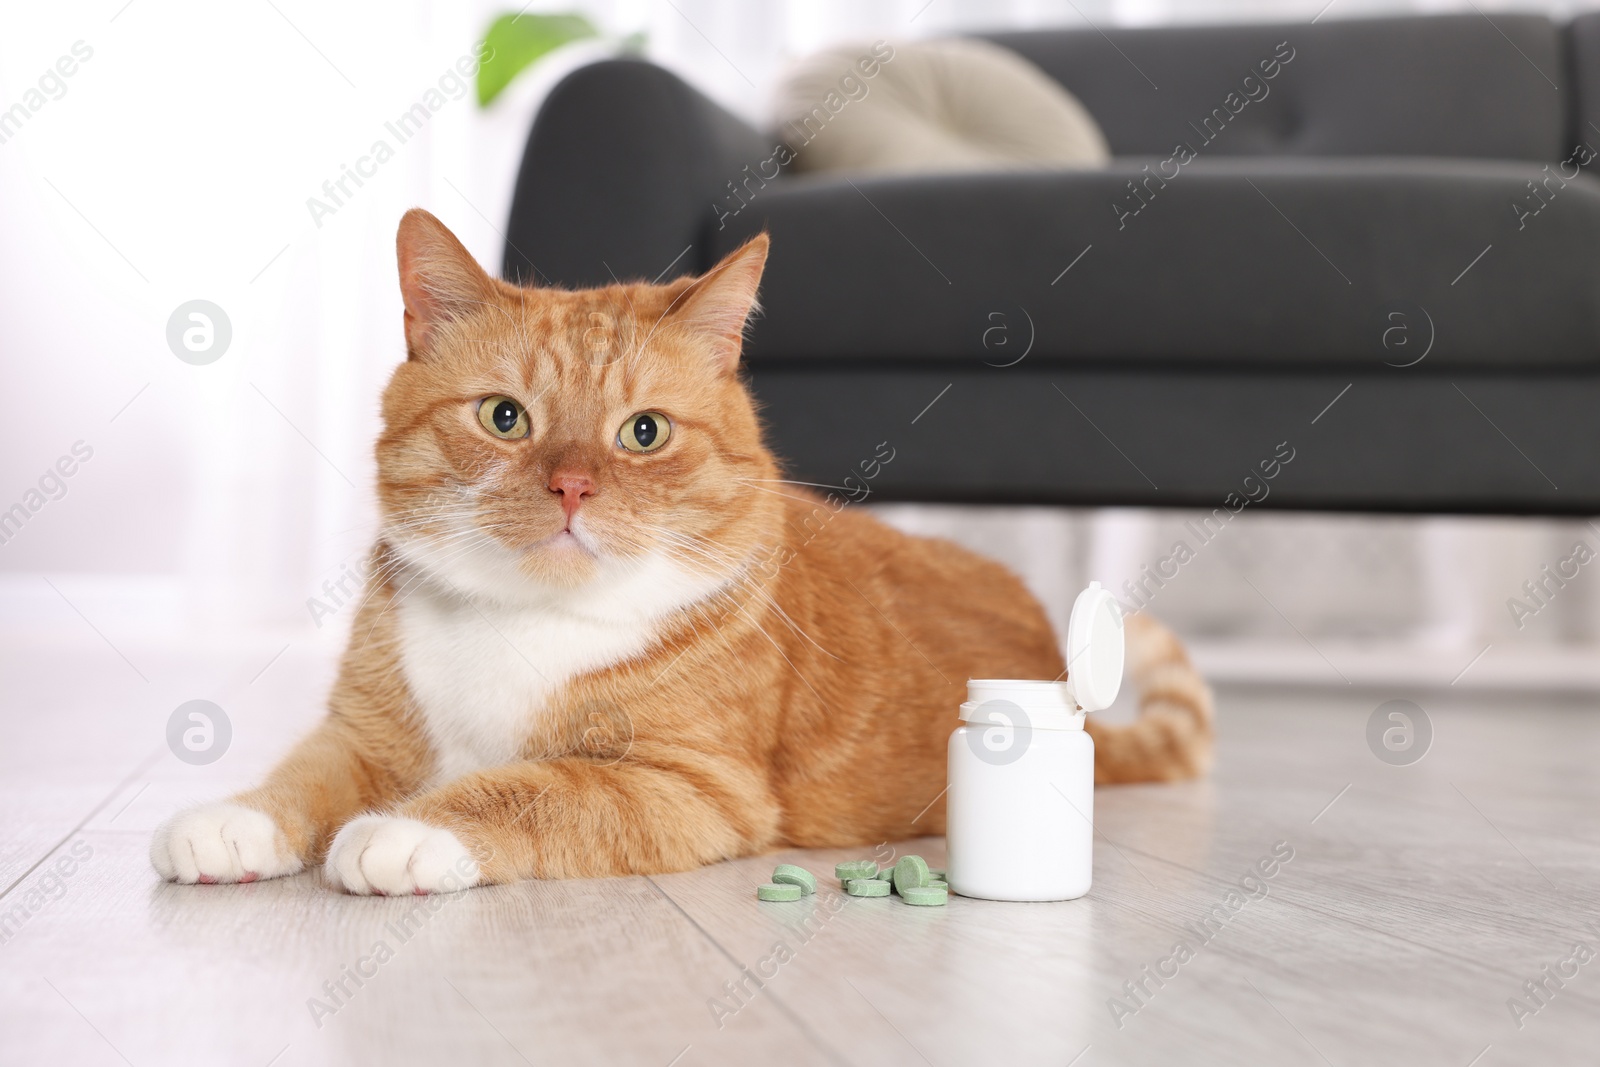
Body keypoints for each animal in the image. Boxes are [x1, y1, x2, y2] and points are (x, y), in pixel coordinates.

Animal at [152, 207, 1209, 895]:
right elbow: (309, 773)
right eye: (504, 417)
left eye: (645, 433)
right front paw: (238, 817)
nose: (572, 487)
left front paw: (410, 829)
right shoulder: (364, 730)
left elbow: (533, 788)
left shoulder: (692, 785)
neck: (524, 622)